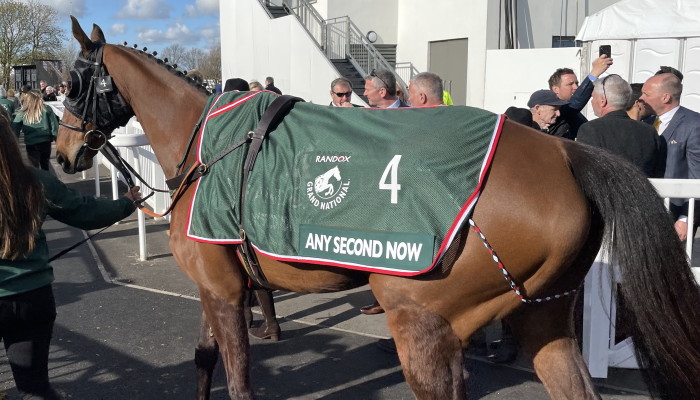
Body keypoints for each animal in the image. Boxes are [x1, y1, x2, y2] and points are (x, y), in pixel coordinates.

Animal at [54, 18, 700, 400]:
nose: (61, 154)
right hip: (542, 313)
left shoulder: (222, 288)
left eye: (73, 82)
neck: (208, 146)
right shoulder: (217, 285)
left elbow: (237, 377)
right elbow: (204, 358)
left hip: (423, 317)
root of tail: (567, 152)